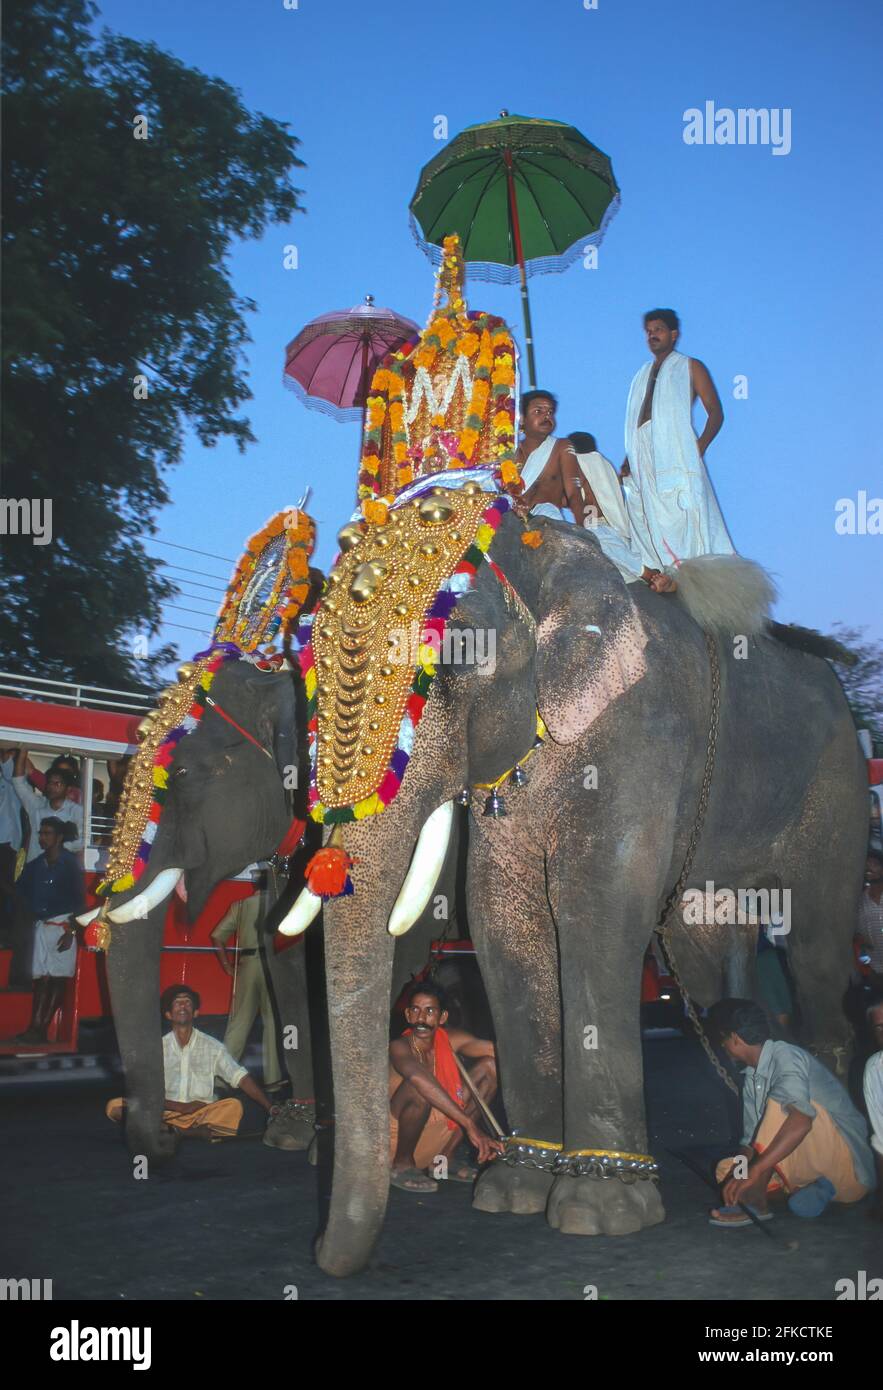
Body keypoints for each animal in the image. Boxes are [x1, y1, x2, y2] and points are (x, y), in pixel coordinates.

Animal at [285, 505, 873, 1273]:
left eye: (455, 655)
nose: (321, 1249)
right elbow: (501, 921)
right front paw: (512, 1188)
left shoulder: (640, 732)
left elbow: (594, 911)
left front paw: (599, 1210)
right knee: (704, 950)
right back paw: (739, 1150)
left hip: (836, 784)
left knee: (816, 949)